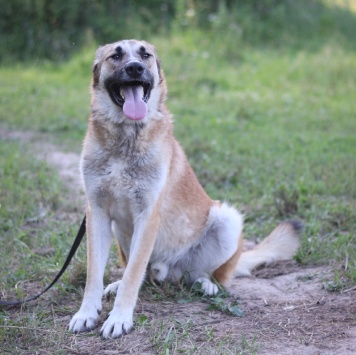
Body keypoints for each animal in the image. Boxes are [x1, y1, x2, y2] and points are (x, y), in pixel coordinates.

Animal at [69, 39, 300, 340]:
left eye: (145, 54)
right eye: (115, 56)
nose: (135, 68)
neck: (126, 138)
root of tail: (171, 270)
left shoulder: (147, 216)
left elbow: (133, 275)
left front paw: (119, 318)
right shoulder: (96, 212)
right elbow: (95, 275)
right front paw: (87, 313)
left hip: (226, 219)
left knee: (205, 275)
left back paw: (207, 283)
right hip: (121, 233)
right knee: (143, 272)